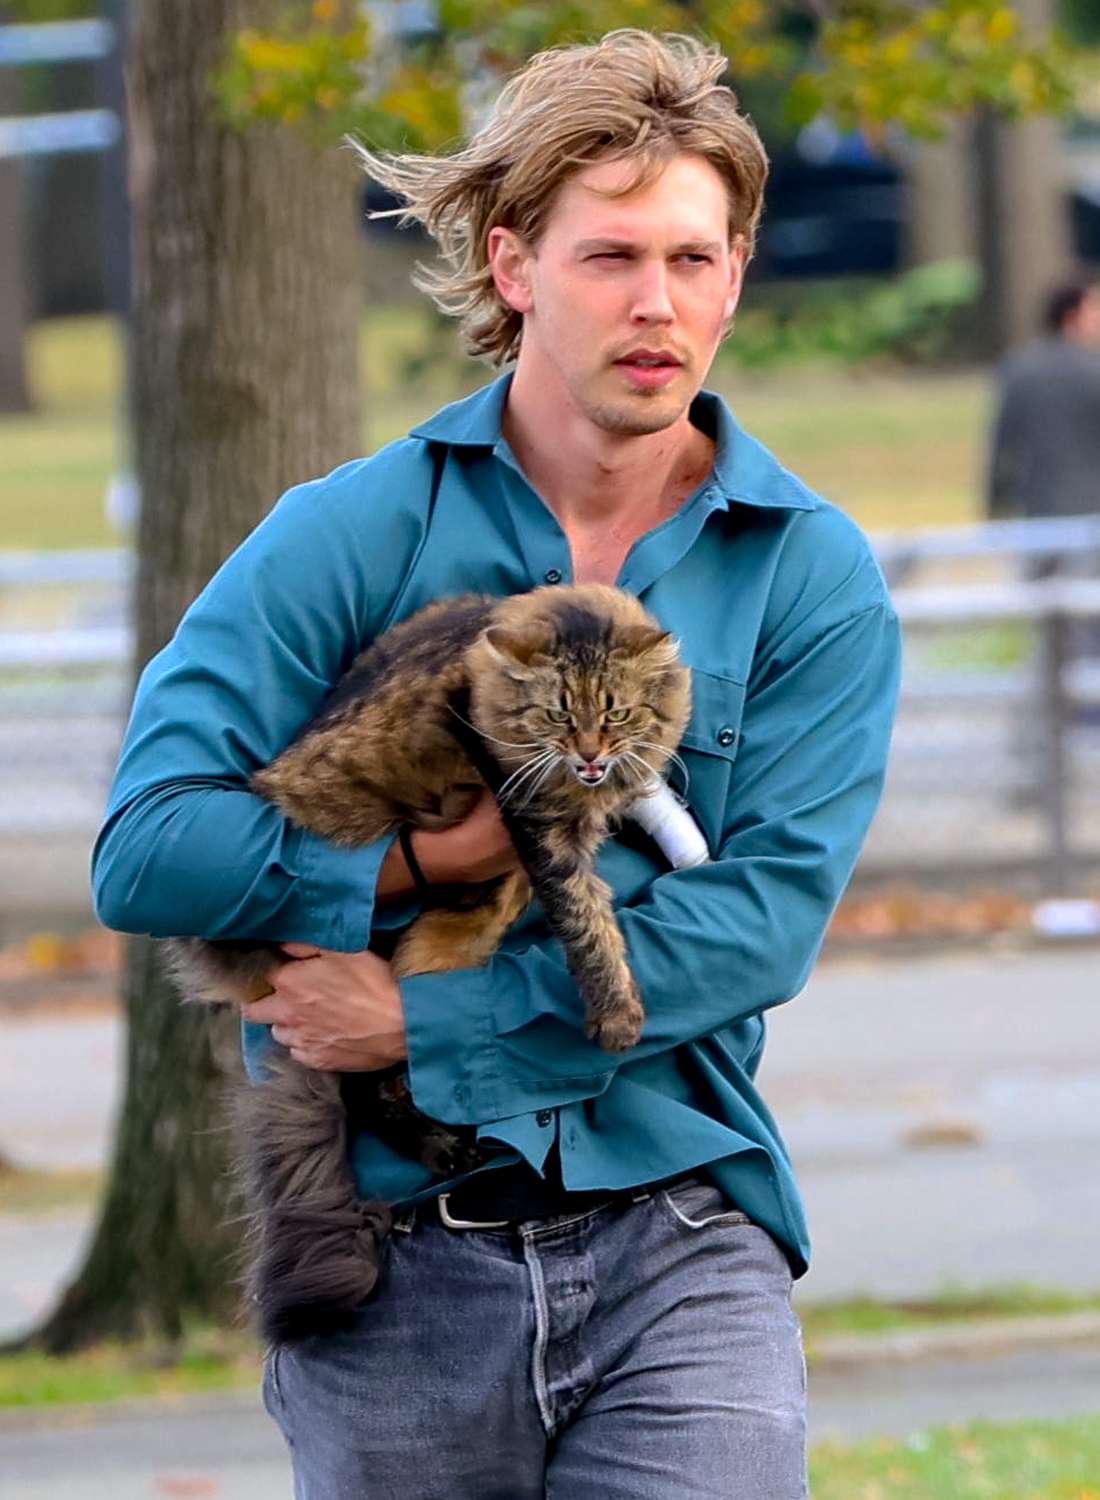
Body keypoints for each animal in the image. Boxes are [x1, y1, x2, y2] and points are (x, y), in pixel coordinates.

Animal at [168, 579, 690, 1344]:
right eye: (558, 714)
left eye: (616, 711)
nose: (591, 754)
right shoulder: (536, 825)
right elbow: (588, 921)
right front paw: (616, 1015)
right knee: (372, 1086)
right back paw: (446, 1149)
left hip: (458, 931)